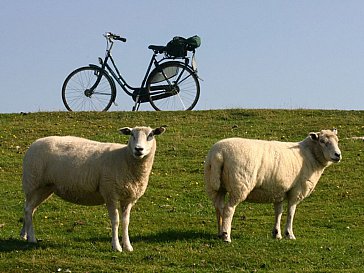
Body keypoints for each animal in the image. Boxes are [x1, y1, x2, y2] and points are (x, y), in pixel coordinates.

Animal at [20, 125, 166, 251]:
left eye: (151, 135)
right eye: (131, 134)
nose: (138, 149)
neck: (125, 158)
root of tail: (35, 143)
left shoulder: (129, 198)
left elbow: (126, 222)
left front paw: (128, 246)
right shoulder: (110, 193)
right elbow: (115, 221)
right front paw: (116, 247)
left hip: (45, 187)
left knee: (30, 209)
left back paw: (24, 235)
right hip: (33, 182)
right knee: (28, 209)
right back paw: (32, 238)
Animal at [205, 127, 342, 240]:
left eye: (337, 141)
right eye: (322, 141)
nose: (338, 155)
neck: (309, 154)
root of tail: (219, 154)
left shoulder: (279, 190)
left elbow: (278, 212)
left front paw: (277, 234)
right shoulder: (297, 190)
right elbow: (291, 211)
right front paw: (289, 234)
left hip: (215, 185)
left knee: (219, 207)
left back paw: (220, 232)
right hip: (239, 185)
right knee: (229, 209)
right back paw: (226, 236)